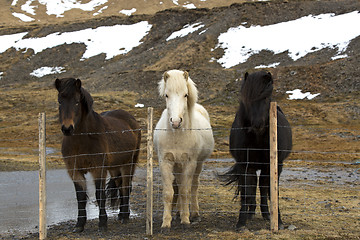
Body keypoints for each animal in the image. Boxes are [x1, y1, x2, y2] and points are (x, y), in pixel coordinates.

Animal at [54, 78, 141, 232]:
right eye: (59, 101)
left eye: (77, 101)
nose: (67, 128)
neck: (82, 140)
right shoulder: (74, 171)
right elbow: (80, 197)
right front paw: (79, 225)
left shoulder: (98, 169)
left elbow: (99, 195)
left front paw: (102, 223)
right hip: (114, 168)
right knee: (120, 186)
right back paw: (120, 215)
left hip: (129, 164)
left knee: (126, 187)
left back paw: (125, 216)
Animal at [153, 70, 214, 231]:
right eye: (166, 95)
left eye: (185, 95)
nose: (175, 122)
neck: (176, 136)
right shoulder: (165, 162)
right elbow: (169, 192)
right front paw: (166, 223)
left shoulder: (189, 163)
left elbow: (185, 191)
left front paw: (185, 220)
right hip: (177, 165)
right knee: (178, 185)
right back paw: (178, 213)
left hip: (198, 164)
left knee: (193, 186)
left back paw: (194, 214)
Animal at [219, 71, 292, 231]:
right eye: (246, 99)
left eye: (265, 98)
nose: (257, 124)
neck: (258, 138)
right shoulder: (246, 166)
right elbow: (247, 193)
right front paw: (241, 223)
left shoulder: (275, 166)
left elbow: (272, 191)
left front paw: (279, 221)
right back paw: (250, 213)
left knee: (263, 187)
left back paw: (266, 214)